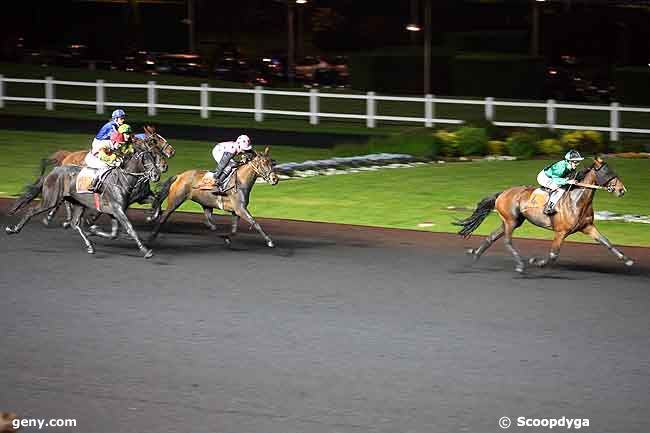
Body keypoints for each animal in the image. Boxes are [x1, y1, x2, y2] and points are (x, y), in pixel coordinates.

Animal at [6, 147, 161, 258]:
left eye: (154, 157)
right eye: (145, 159)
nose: (156, 175)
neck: (122, 179)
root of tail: (55, 170)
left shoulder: (115, 210)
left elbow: (114, 233)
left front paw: (94, 230)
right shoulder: (117, 209)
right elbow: (129, 228)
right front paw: (145, 250)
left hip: (78, 203)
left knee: (75, 223)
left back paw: (89, 245)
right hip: (50, 199)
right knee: (32, 210)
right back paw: (14, 229)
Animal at [148, 146, 280, 246]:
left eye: (272, 162)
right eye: (263, 163)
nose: (275, 179)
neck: (240, 181)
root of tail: (179, 175)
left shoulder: (236, 211)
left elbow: (234, 229)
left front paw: (227, 238)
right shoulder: (240, 209)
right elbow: (255, 223)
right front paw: (269, 241)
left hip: (206, 204)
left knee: (208, 221)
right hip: (175, 200)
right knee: (163, 217)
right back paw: (152, 236)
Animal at [454, 157, 632, 272]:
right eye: (607, 172)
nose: (622, 190)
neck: (577, 200)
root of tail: (502, 193)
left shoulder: (587, 227)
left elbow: (606, 242)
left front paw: (627, 260)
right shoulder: (561, 232)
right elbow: (553, 254)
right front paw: (536, 262)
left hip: (512, 221)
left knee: (491, 237)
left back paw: (476, 255)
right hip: (511, 221)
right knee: (507, 241)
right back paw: (520, 265)